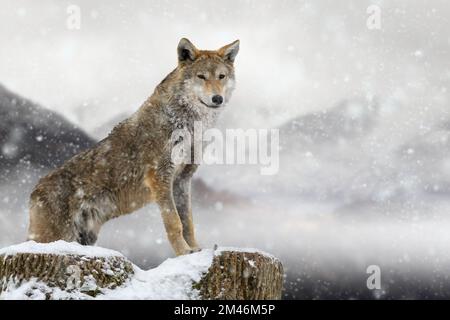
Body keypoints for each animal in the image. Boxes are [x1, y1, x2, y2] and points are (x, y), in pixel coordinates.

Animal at [27, 38, 239, 255]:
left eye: (221, 76)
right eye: (201, 77)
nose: (217, 99)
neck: (190, 125)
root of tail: (34, 191)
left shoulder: (182, 179)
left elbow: (187, 222)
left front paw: (195, 249)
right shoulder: (160, 177)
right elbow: (174, 223)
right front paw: (183, 252)